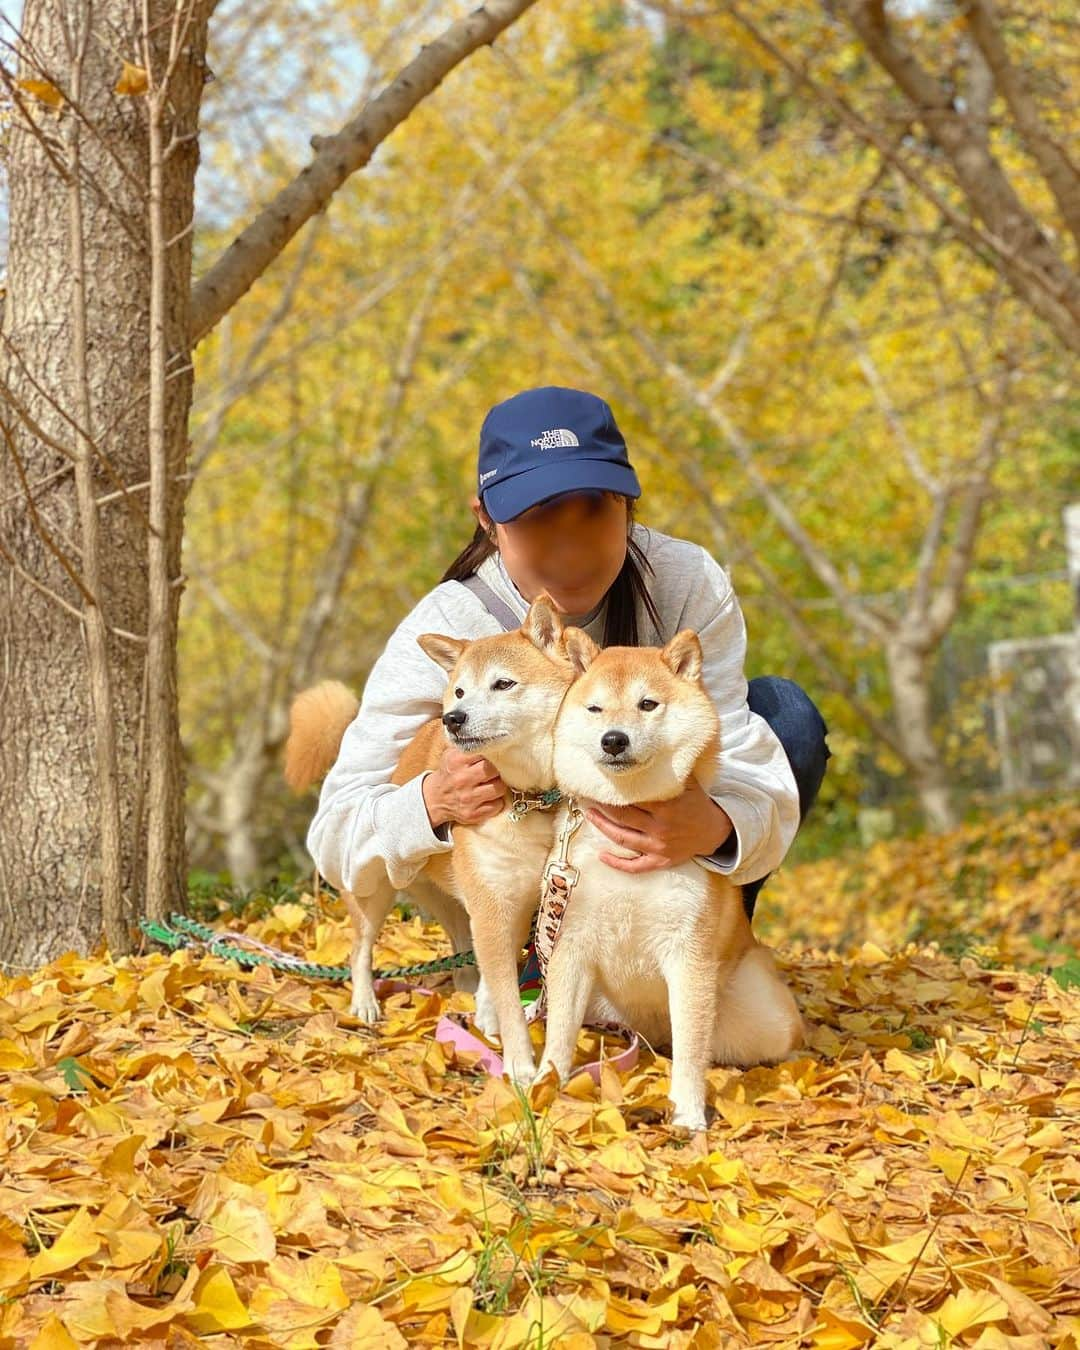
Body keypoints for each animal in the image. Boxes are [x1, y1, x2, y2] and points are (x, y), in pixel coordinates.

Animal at [284, 596, 572, 1080]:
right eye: (459, 692)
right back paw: (365, 1002)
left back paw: (469, 996)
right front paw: (520, 1069)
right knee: (360, 949)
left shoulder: (523, 901)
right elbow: (512, 1001)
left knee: (462, 949)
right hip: (374, 890)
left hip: (449, 896)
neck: (530, 798)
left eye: (503, 684)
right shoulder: (496, 904)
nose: (453, 719)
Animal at [534, 629, 804, 1128]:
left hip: (761, 1009)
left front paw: (689, 1114)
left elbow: (692, 1050)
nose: (614, 740)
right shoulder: (570, 943)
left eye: (647, 704)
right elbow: (559, 1029)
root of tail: (649, 1032)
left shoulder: (688, 956)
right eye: (595, 709)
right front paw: (543, 1084)